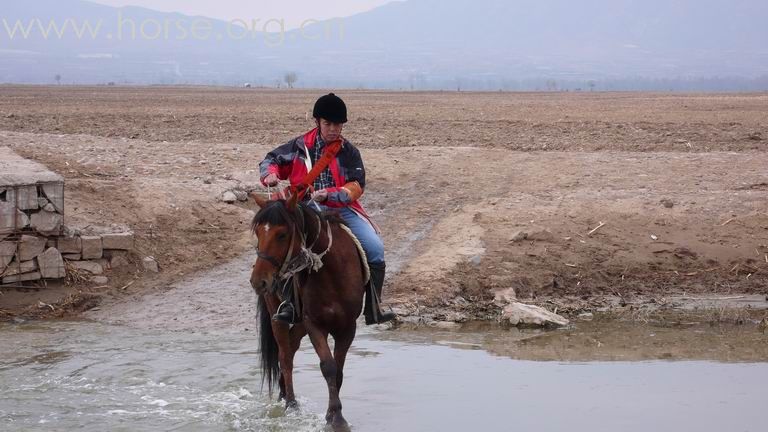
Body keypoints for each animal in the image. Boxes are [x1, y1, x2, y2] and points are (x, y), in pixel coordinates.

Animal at [248, 192, 364, 428]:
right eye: (258, 232)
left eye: (282, 234)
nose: (258, 281)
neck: (331, 271)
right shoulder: (314, 324)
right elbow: (328, 366)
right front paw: (336, 417)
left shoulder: (348, 328)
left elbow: (338, 370)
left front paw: (332, 415)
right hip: (278, 316)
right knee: (285, 356)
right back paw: (290, 403)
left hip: (299, 322)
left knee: (291, 348)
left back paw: (284, 393)